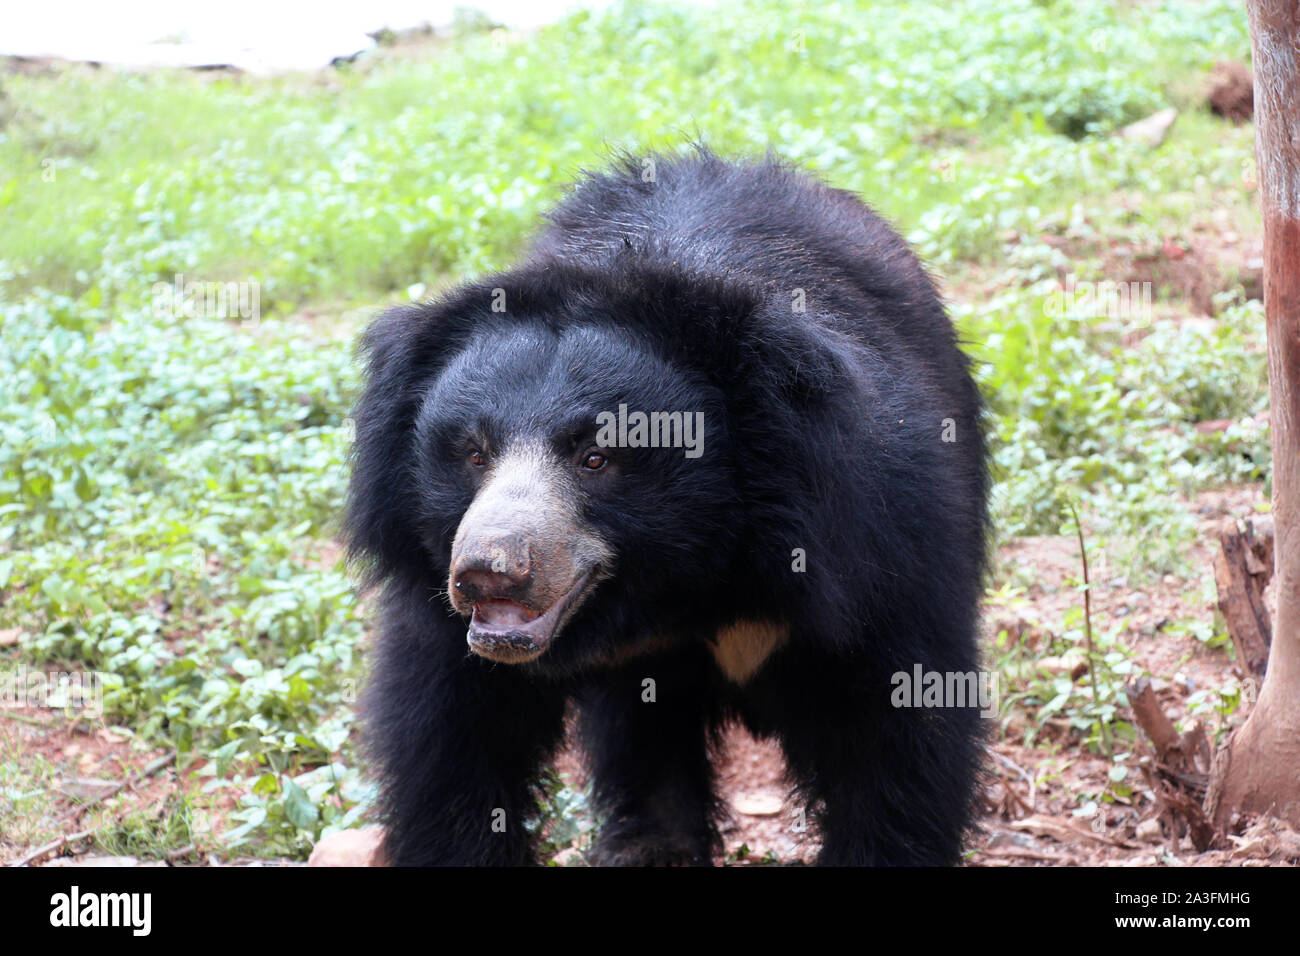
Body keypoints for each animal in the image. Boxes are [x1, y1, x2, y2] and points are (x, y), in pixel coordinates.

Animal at [345, 149, 982, 868]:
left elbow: (897, 737)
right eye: (473, 453)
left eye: (596, 458)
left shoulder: (877, 538)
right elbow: (453, 736)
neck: (687, 578)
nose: (488, 573)